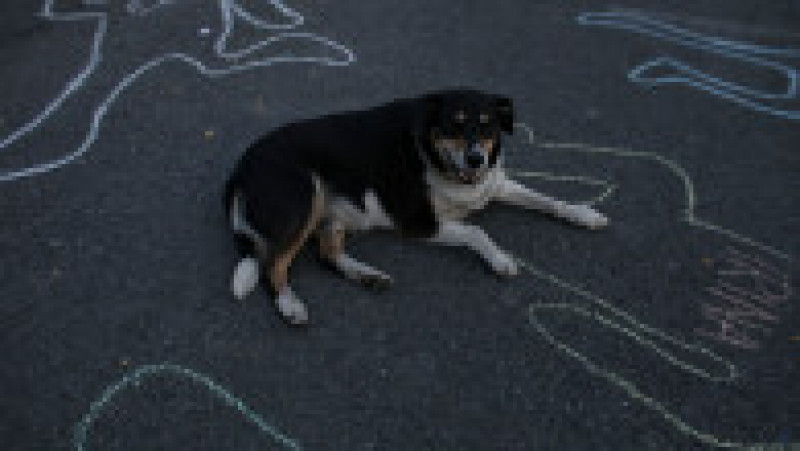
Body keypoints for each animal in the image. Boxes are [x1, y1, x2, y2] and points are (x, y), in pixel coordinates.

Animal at [222, 88, 608, 326]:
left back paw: (367, 275)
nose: (476, 159)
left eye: (488, 126)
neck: (439, 161)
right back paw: (289, 305)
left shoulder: (495, 184)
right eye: (454, 124)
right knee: (271, 264)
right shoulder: (419, 220)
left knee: (326, 254)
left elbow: (548, 200)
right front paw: (499, 259)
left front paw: (583, 212)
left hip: (332, 211)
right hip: (304, 197)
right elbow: (475, 229)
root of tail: (240, 167)